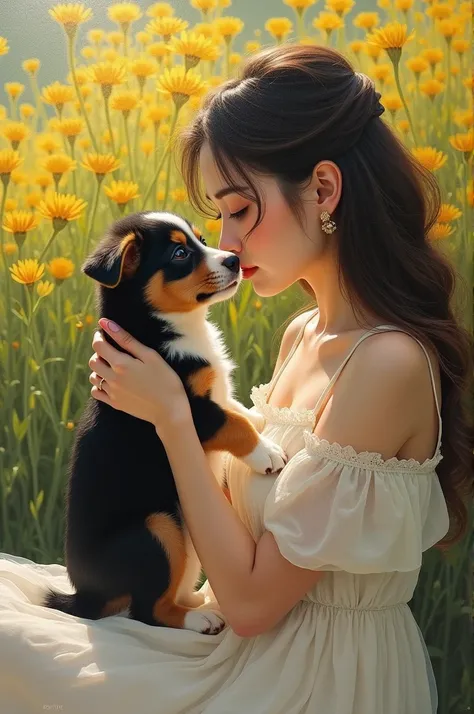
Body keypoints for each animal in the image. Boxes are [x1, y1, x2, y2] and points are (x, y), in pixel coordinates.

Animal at [41, 211, 286, 636]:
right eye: (179, 253)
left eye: (200, 239)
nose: (234, 260)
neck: (166, 326)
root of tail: (87, 596)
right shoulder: (193, 412)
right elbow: (233, 423)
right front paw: (265, 452)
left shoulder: (211, 397)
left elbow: (236, 407)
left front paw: (261, 414)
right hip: (158, 528)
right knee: (147, 610)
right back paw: (199, 617)